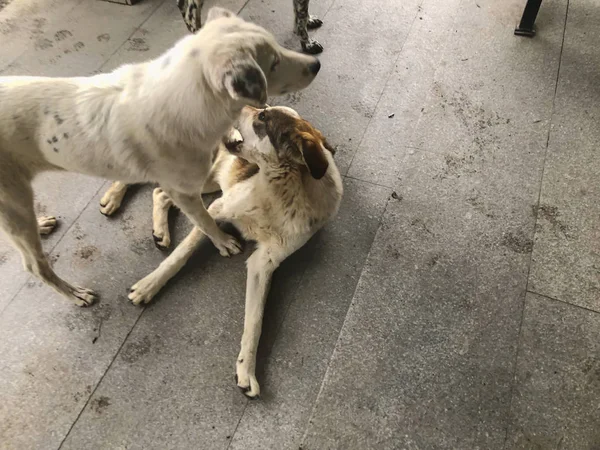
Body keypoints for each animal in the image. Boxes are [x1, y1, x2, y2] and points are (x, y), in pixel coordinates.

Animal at [0, 7, 322, 306]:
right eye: (274, 64)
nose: (317, 64)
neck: (191, 100)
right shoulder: (184, 191)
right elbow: (205, 220)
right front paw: (223, 242)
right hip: (15, 205)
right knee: (35, 266)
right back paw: (75, 293)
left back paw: (48, 222)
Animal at [124, 106, 342, 398]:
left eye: (263, 117)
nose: (239, 104)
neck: (282, 189)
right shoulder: (217, 208)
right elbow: (183, 252)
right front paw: (149, 285)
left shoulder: (264, 263)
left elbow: (255, 322)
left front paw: (246, 370)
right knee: (166, 191)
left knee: (162, 193)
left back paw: (161, 232)